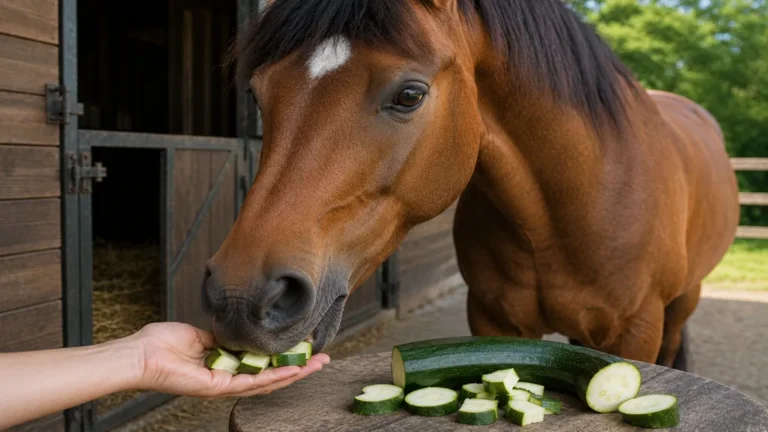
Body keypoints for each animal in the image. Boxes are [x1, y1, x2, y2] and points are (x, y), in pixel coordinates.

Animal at [203, 0, 740, 370]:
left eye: (410, 94)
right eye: (258, 94)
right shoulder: (493, 323)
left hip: (681, 304)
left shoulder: (636, 332)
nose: (240, 297)